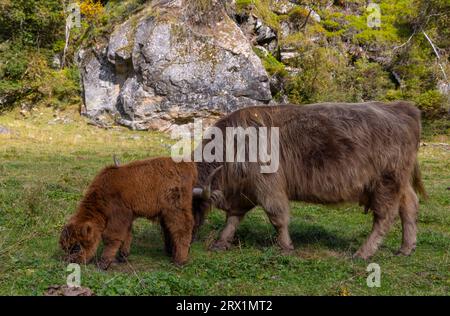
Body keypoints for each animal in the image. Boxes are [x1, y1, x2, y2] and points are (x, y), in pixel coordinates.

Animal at [59, 156, 220, 270]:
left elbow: (111, 237)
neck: (103, 193)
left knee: (183, 229)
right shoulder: (128, 217)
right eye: (65, 247)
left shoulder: (118, 216)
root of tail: (188, 166)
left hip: (175, 210)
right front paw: (122, 256)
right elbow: (127, 235)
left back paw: (179, 261)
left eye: (76, 246)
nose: (69, 262)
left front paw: (104, 263)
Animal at [195, 101, 428, 260]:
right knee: (409, 206)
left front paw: (286, 247)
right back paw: (406, 248)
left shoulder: (268, 187)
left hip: (386, 183)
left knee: (384, 217)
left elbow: (277, 217)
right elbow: (233, 218)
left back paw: (363, 253)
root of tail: (402, 107)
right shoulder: (245, 191)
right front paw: (220, 243)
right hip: (400, 183)